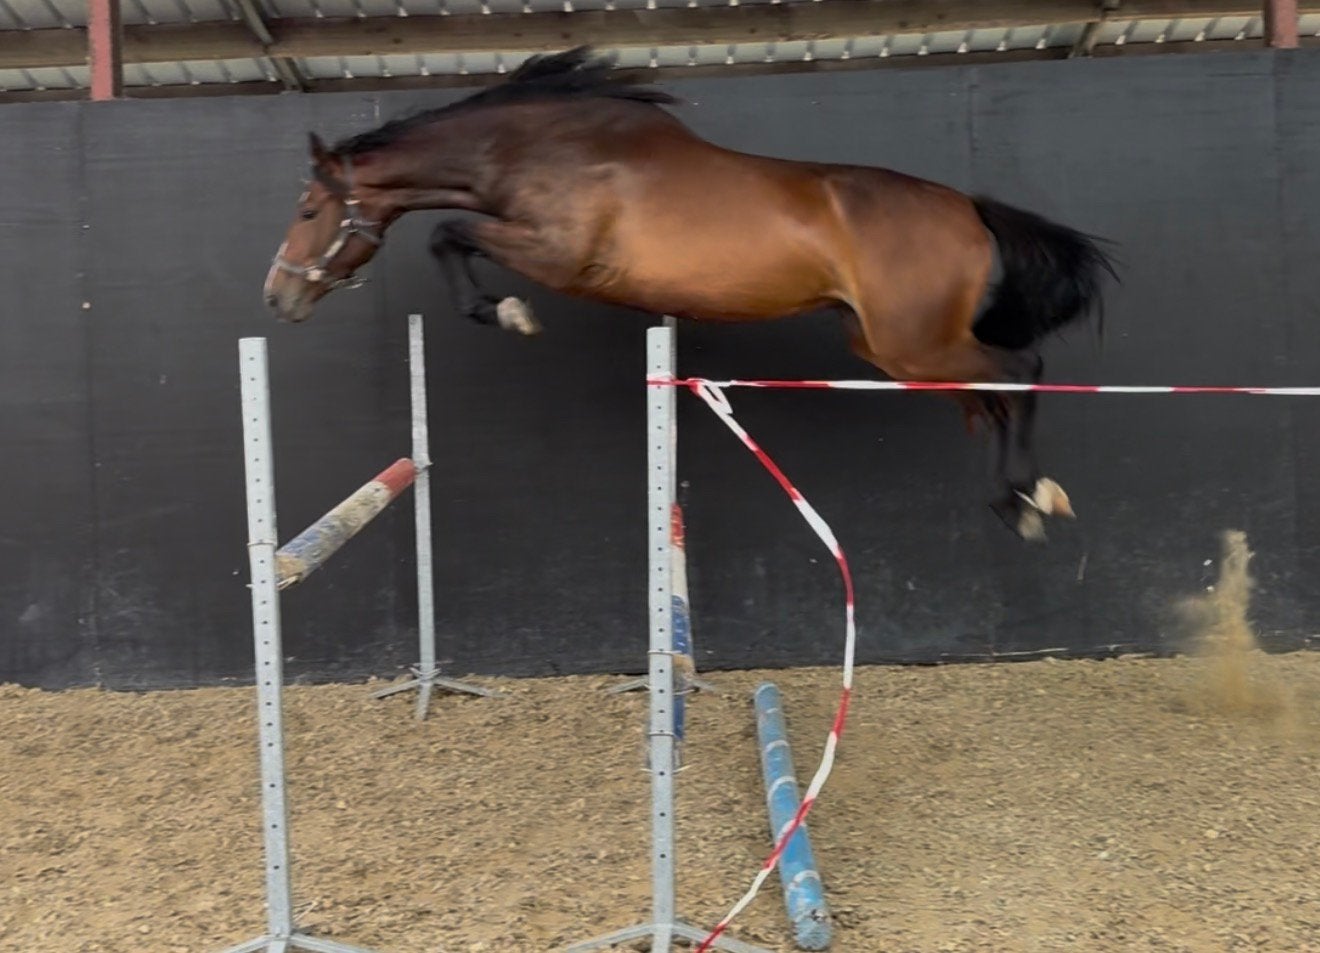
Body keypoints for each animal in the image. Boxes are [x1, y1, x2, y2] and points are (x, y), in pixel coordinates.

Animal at [264, 46, 1118, 541]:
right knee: (992, 399)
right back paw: (1016, 498)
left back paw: (1030, 498)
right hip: (890, 347)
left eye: (306, 210)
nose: (277, 297)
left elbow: (448, 234)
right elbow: (451, 233)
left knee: (1023, 372)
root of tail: (969, 208)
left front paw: (504, 311)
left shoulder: (560, 256)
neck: (544, 147)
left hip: (914, 343)